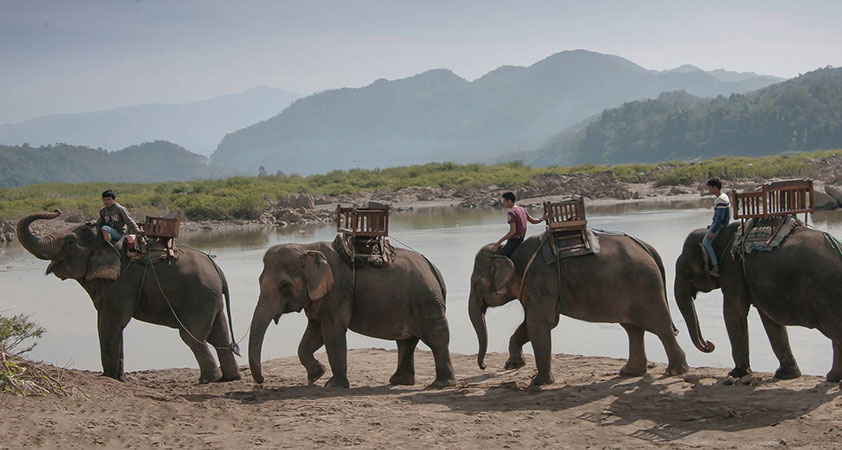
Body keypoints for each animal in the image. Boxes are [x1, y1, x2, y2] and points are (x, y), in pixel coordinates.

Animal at [17, 210, 241, 383]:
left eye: (70, 242)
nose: (56, 211)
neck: (108, 243)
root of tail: (219, 271)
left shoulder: (122, 283)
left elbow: (110, 323)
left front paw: (109, 378)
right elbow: (114, 325)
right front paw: (119, 378)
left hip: (199, 297)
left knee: (192, 336)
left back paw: (208, 379)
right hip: (211, 298)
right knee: (219, 335)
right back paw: (229, 378)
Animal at [248, 240, 455, 389]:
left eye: (285, 285)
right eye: (258, 280)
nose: (262, 380)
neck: (306, 247)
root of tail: (433, 268)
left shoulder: (338, 291)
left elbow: (332, 331)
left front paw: (332, 385)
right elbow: (314, 333)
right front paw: (316, 375)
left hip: (427, 301)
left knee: (436, 338)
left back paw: (440, 384)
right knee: (406, 341)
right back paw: (399, 382)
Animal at [469, 234, 689, 386]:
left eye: (476, 283)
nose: (483, 366)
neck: (507, 251)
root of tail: (647, 248)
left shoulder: (540, 283)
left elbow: (539, 324)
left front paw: (539, 383)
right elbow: (529, 325)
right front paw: (513, 365)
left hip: (646, 288)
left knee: (660, 326)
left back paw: (675, 372)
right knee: (633, 328)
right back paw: (630, 372)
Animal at [675, 222, 842, 382]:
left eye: (686, 270)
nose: (709, 344)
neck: (715, 234)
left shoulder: (733, 268)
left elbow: (734, 313)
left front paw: (737, 373)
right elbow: (769, 321)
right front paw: (786, 374)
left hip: (826, 292)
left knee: (834, 332)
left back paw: (832, 377)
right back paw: (833, 378)